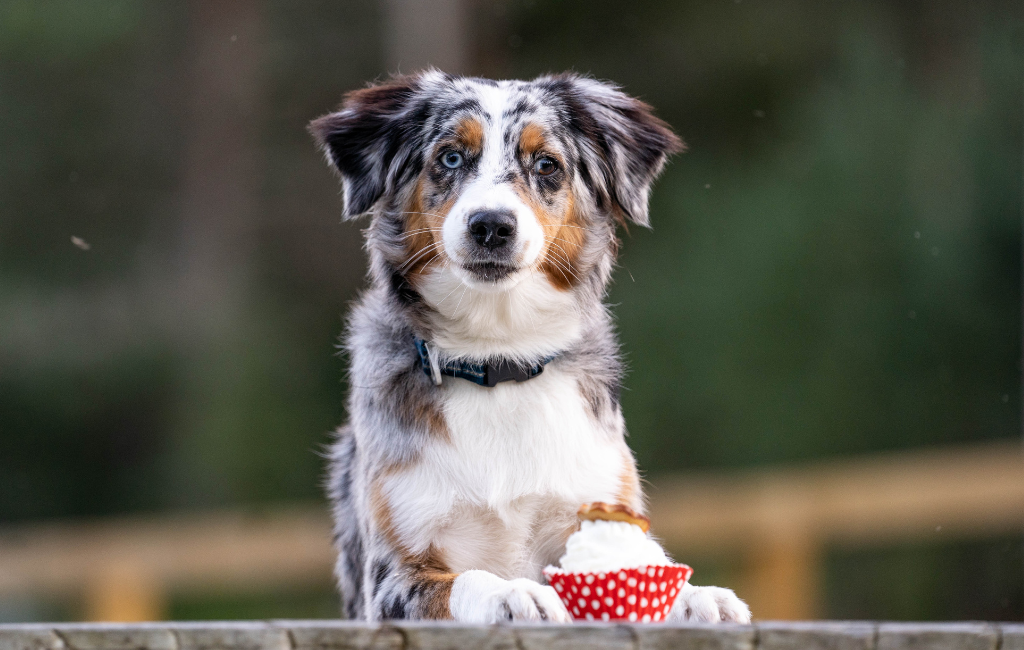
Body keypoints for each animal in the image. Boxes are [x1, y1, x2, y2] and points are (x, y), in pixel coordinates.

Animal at [307, 71, 749, 626]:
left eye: (546, 165)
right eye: (450, 157)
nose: (491, 225)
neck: (499, 360)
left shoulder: (594, 502)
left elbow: (637, 571)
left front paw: (698, 596)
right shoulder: (391, 577)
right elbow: (467, 580)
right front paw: (514, 593)